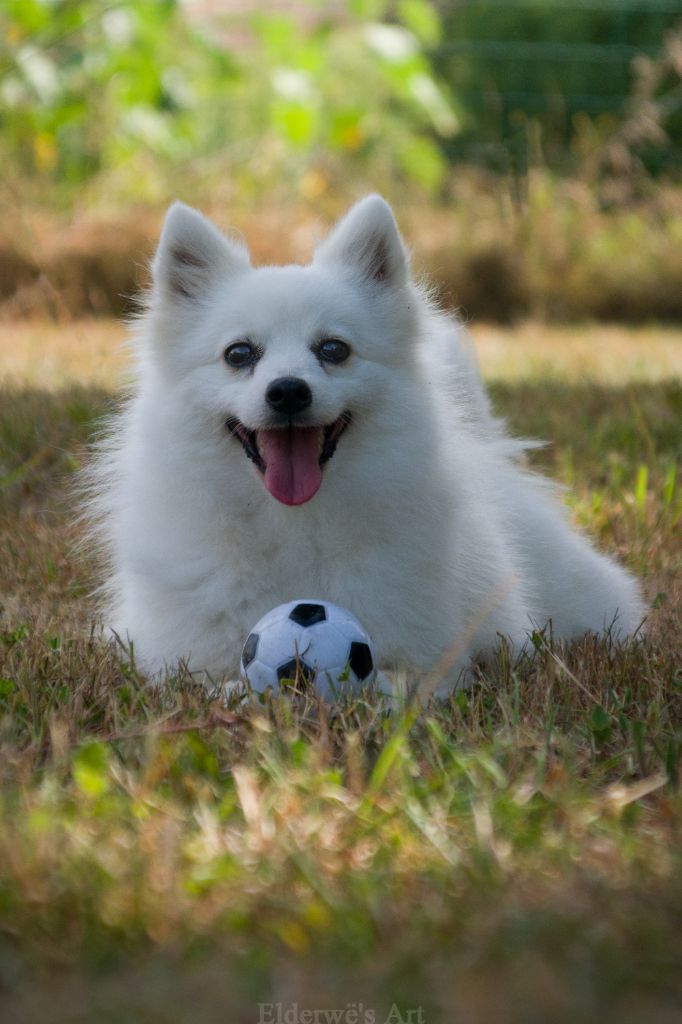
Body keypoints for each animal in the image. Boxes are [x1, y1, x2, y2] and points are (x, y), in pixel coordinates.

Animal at [86, 193, 643, 688]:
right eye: (238, 354)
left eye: (334, 349)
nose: (288, 391)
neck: (294, 523)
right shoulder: (178, 658)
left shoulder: (432, 656)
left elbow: (401, 684)